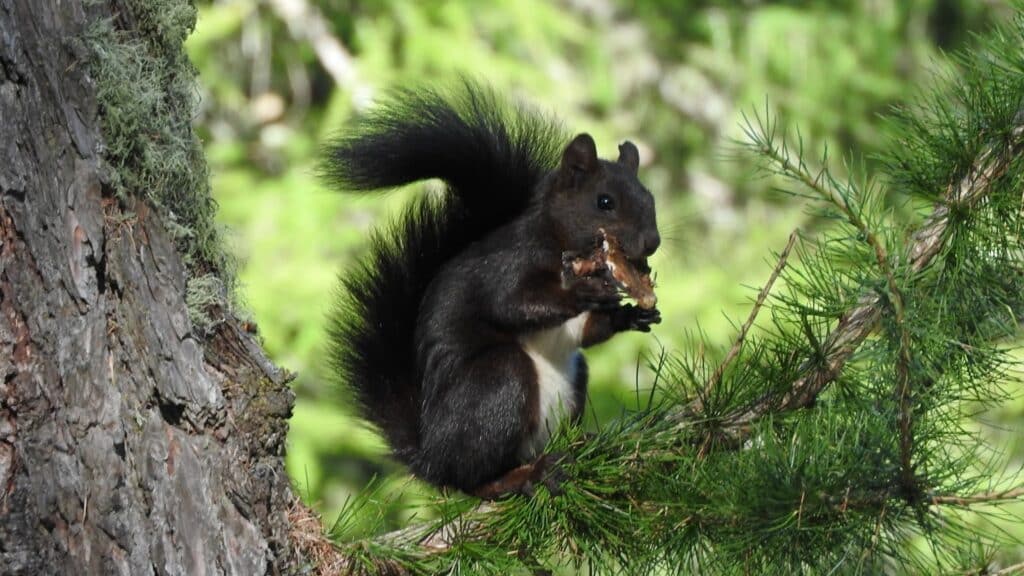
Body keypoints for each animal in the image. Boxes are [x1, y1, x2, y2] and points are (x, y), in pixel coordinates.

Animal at [321, 83, 661, 498]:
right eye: (605, 202)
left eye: (650, 198)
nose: (652, 242)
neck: (561, 244)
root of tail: (432, 457)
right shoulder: (507, 265)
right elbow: (511, 303)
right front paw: (581, 292)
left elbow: (588, 331)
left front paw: (632, 314)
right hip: (499, 381)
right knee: (473, 479)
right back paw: (525, 475)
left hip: (572, 382)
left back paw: (579, 445)